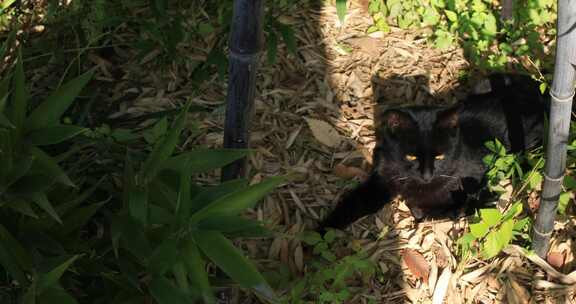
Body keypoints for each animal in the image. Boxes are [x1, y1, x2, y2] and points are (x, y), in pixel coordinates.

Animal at [322, 73, 548, 230]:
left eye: (440, 156)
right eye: (411, 156)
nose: (427, 175)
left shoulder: (481, 178)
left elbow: (444, 208)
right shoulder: (382, 176)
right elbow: (357, 202)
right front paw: (322, 231)